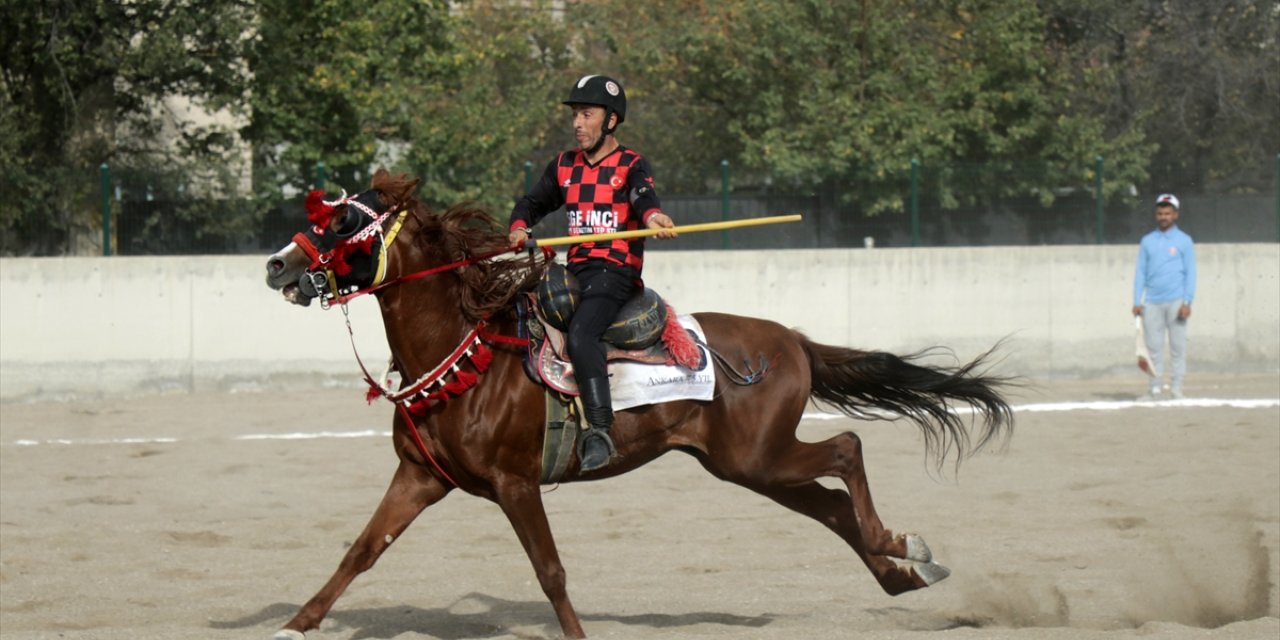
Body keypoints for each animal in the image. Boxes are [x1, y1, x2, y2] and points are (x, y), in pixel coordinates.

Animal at [264, 170, 1013, 640]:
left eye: (342, 223)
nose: (276, 265)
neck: (466, 350)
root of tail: (790, 339)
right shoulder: (420, 477)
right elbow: (361, 552)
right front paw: (295, 624)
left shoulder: (515, 483)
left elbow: (550, 571)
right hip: (748, 466)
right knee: (830, 504)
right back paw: (902, 578)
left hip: (759, 455)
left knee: (847, 451)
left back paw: (901, 546)